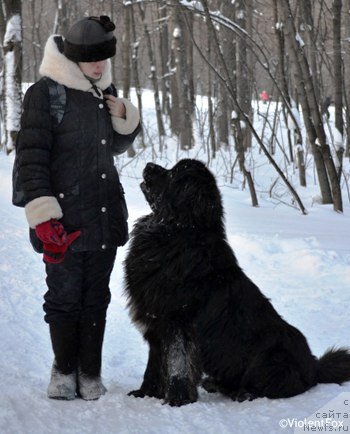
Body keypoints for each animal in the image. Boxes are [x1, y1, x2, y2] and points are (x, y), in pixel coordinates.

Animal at [123, 159, 350, 406]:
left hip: (271, 355)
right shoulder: (155, 323)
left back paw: (244, 393)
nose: (148, 164)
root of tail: (314, 367)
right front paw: (145, 393)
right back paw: (213, 384)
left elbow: (177, 363)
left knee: (277, 387)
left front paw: (177, 399)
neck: (177, 233)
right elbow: (154, 366)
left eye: (173, 174)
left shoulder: (178, 321)